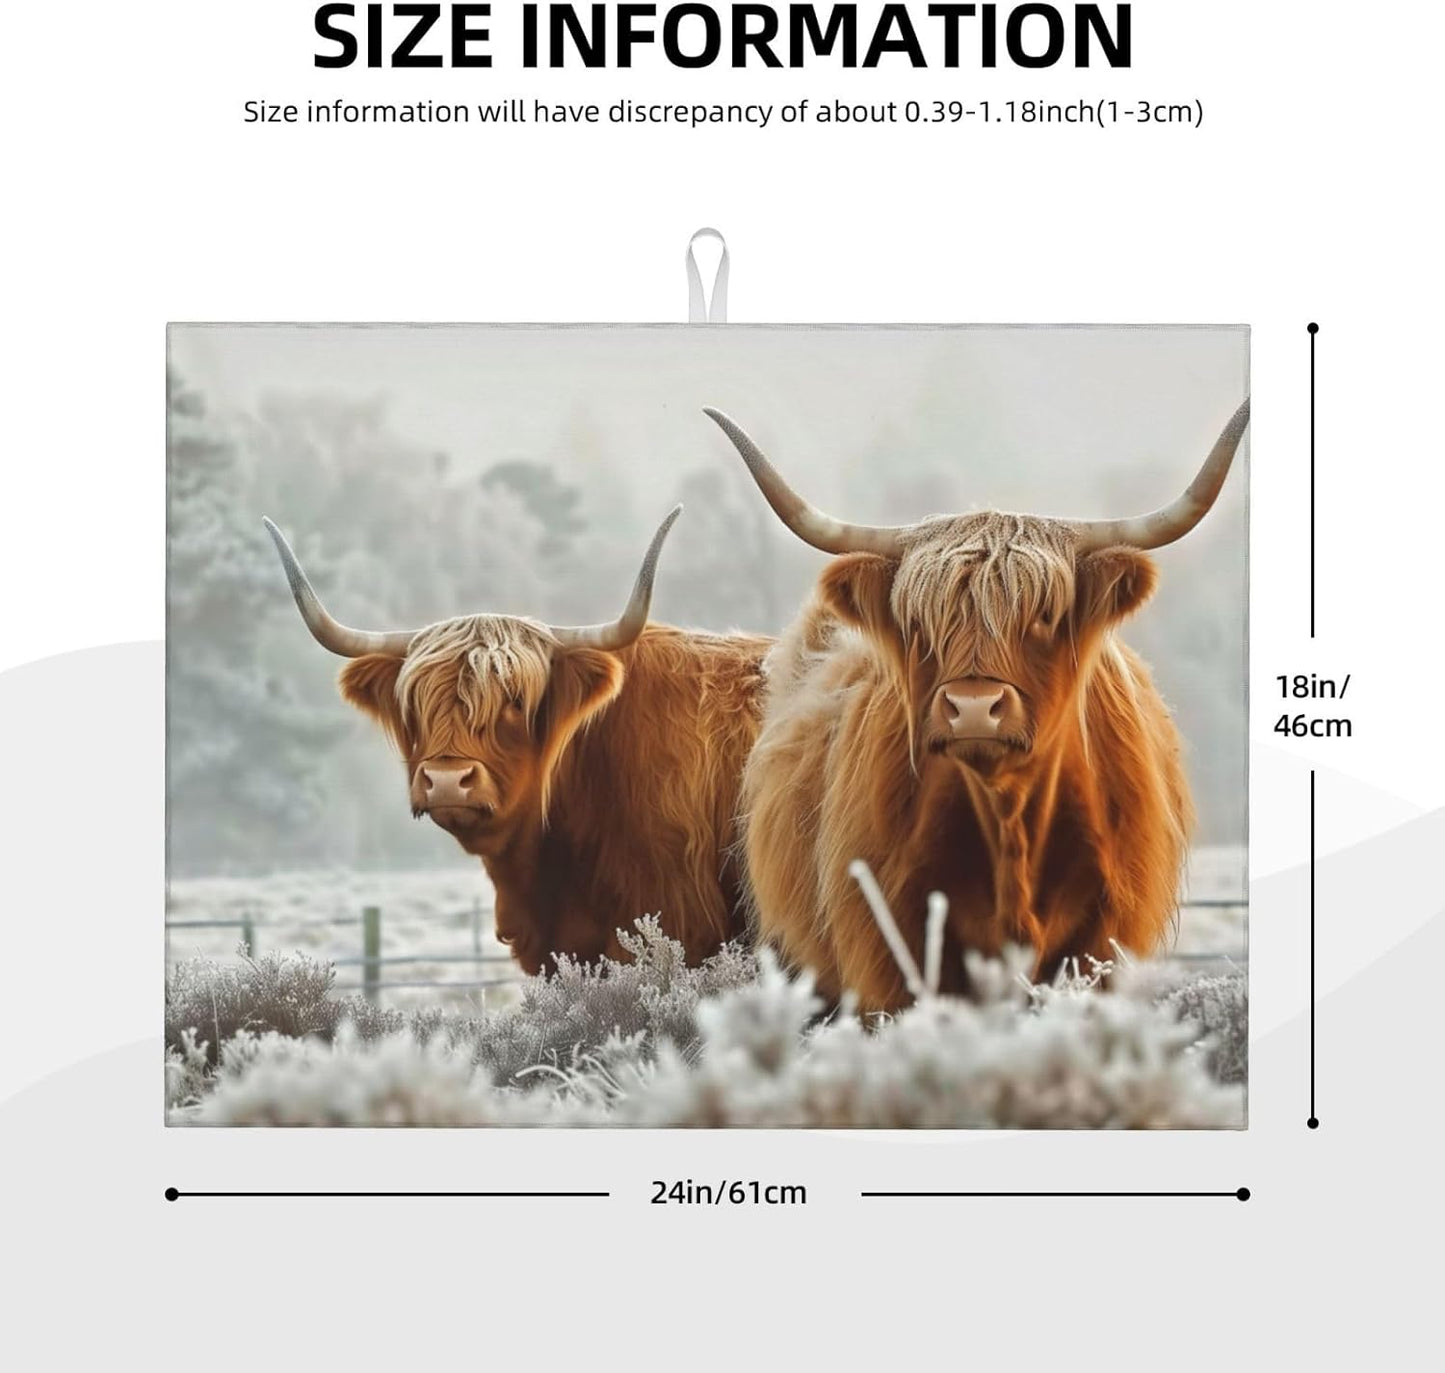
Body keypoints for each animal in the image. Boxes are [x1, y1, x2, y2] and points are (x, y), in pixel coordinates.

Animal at [704, 401, 1250, 1012]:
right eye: (920, 621)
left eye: (1043, 615)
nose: (972, 706)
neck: (1008, 816)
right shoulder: (888, 949)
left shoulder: (1104, 939)